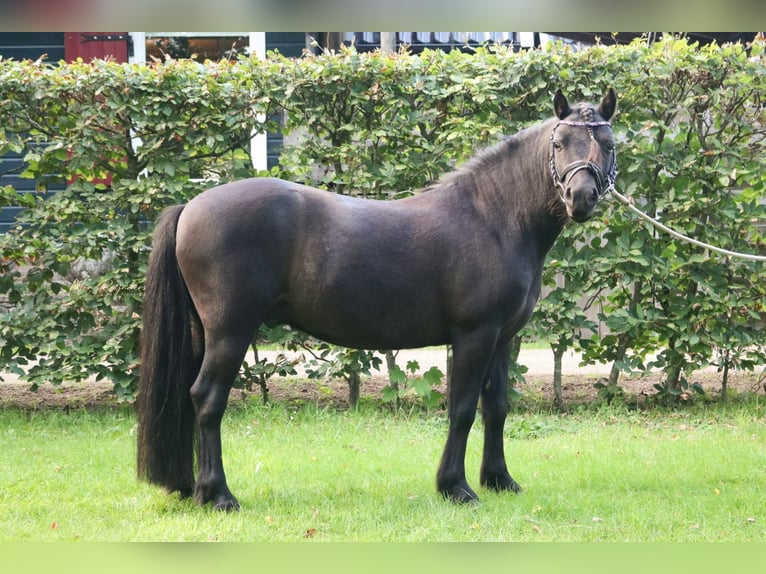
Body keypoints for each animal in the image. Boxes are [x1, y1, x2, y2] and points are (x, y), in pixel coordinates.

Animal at [136, 88, 617, 510]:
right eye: (558, 142)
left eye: (609, 143)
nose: (580, 197)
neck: (493, 217)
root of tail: (190, 206)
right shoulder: (474, 337)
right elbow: (463, 409)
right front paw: (456, 488)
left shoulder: (503, 338)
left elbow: (495, 407)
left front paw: (499, 480)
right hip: (231, 332)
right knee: (208, 399)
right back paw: (219, 495)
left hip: (207, 333)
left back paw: (194, 488)